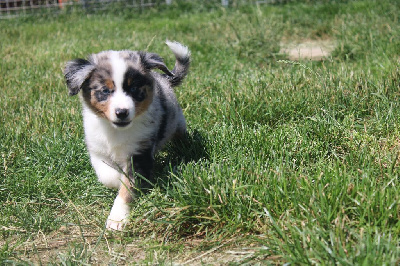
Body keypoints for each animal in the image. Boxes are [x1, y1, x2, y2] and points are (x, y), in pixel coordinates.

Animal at [64, 41, 191, 231]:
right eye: (105, 91)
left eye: (134, 89)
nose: (122, 112)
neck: (116, 131)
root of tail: (163, 79)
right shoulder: (97, 151)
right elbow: (107, 176)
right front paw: (119, 179)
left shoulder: (140, 152)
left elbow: (128, 186)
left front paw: (117, 219)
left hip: (177, 122)